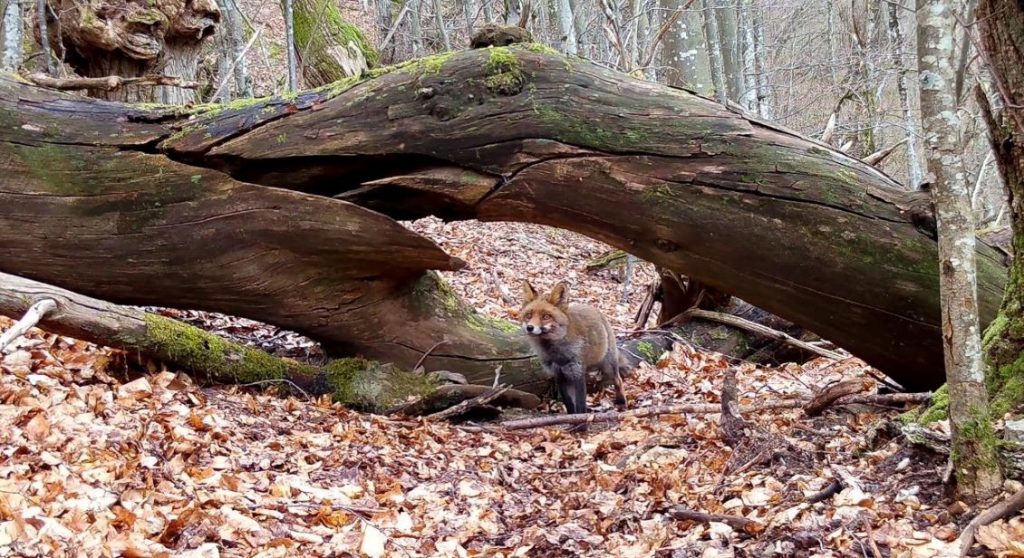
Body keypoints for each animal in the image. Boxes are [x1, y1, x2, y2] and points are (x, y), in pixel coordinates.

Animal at [520, 281, 627, 416]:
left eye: (546, 316)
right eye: (528, 315)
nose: (529, 327)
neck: (557, 354)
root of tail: (595, 309)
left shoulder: (577, 374)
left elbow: (580, 405)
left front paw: (580, 420)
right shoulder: (559, 375)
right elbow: (570, 404)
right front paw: (572, 418)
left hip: (609, 366)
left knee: (618, 380)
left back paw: (621, 401)